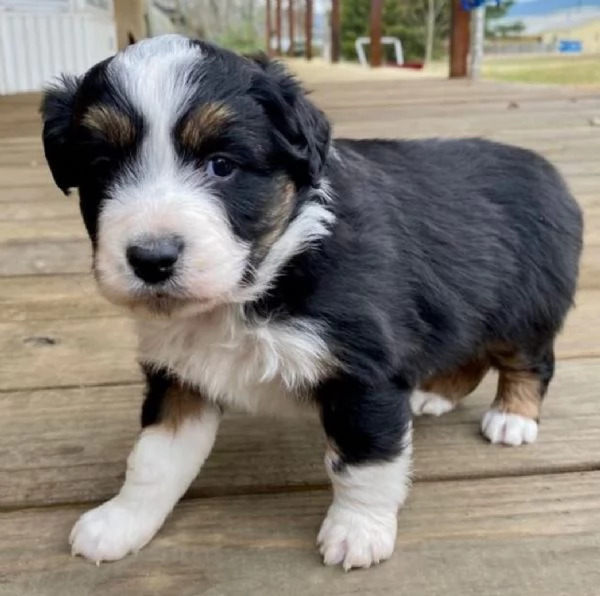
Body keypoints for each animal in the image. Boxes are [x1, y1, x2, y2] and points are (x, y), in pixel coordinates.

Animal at [41, 35, 580, 572]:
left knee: (531, 362)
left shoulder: (365, 370)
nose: (151, 259)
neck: (261, 282)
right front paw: (121, 521)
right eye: (102, 168)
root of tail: (546, 169)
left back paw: (512, 417)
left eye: (222, 165)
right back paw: (435, 394)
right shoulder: (179, 375)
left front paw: (358, 531)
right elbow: (154, 459)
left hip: (525, 308)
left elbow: (363, 461)